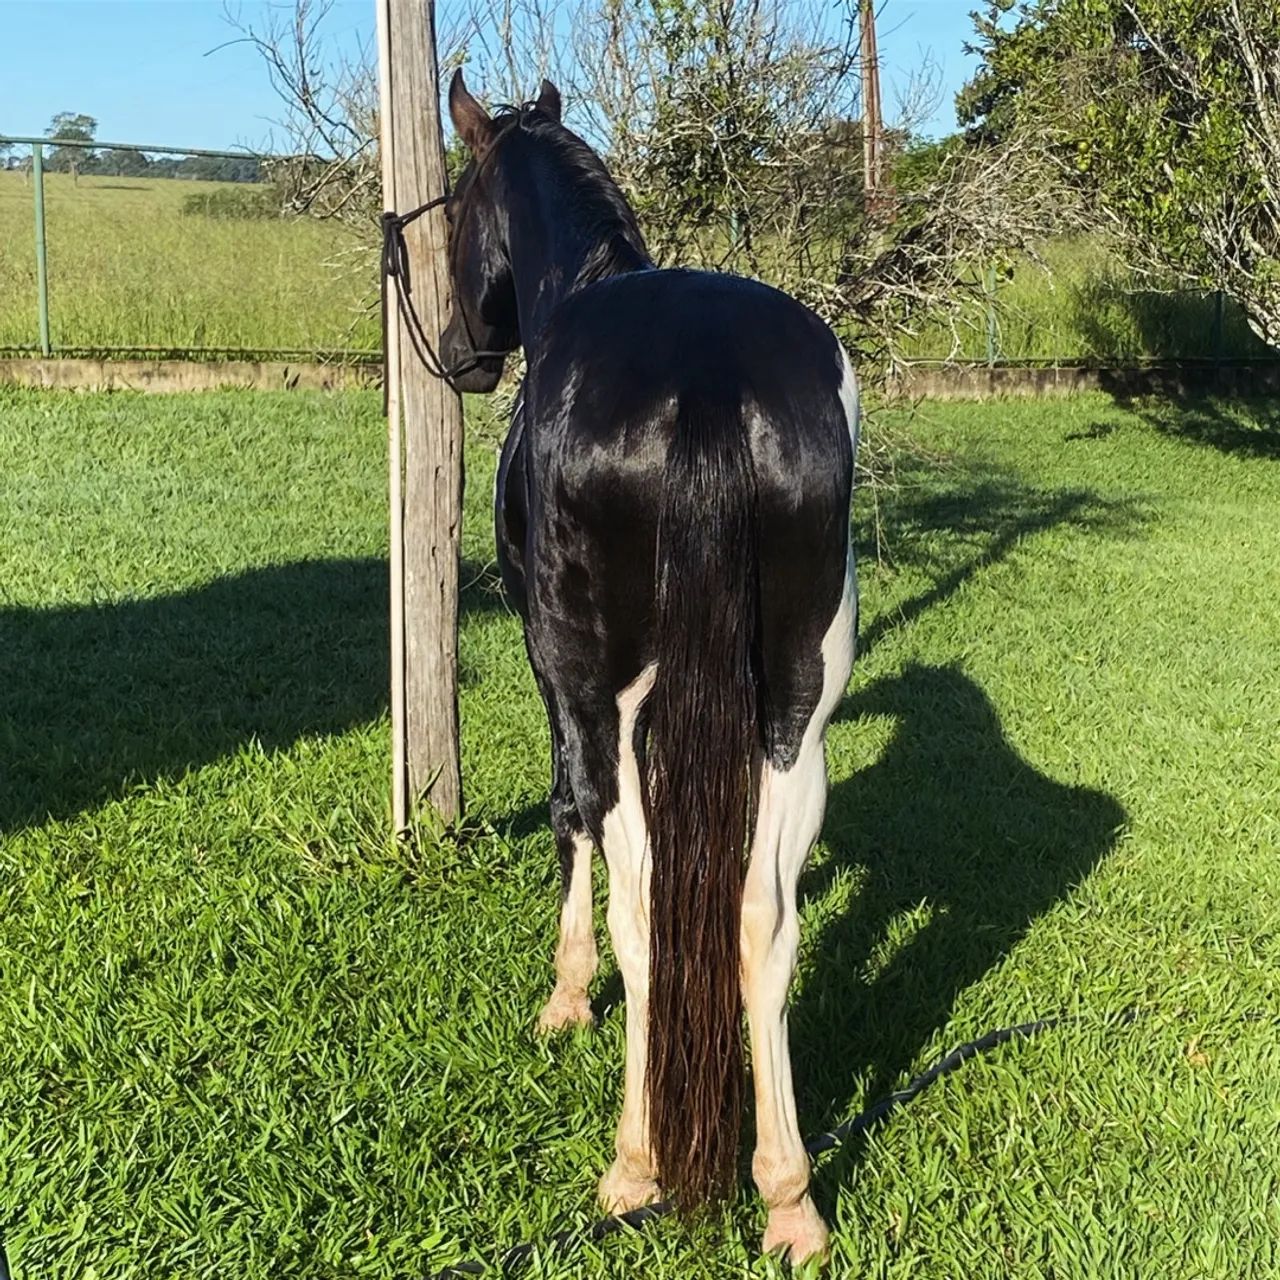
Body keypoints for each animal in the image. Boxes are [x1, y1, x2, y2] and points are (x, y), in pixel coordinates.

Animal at [440, 70, 860, 1259]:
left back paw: (634, 1166)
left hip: (605, 693)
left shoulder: (555, 674)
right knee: (760, 920)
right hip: (796, 713)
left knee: (644, 910)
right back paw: (786, 1196)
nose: (457, 351)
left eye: (455, 208)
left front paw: (563, 996)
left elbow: (568, 815)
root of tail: (706, 378)